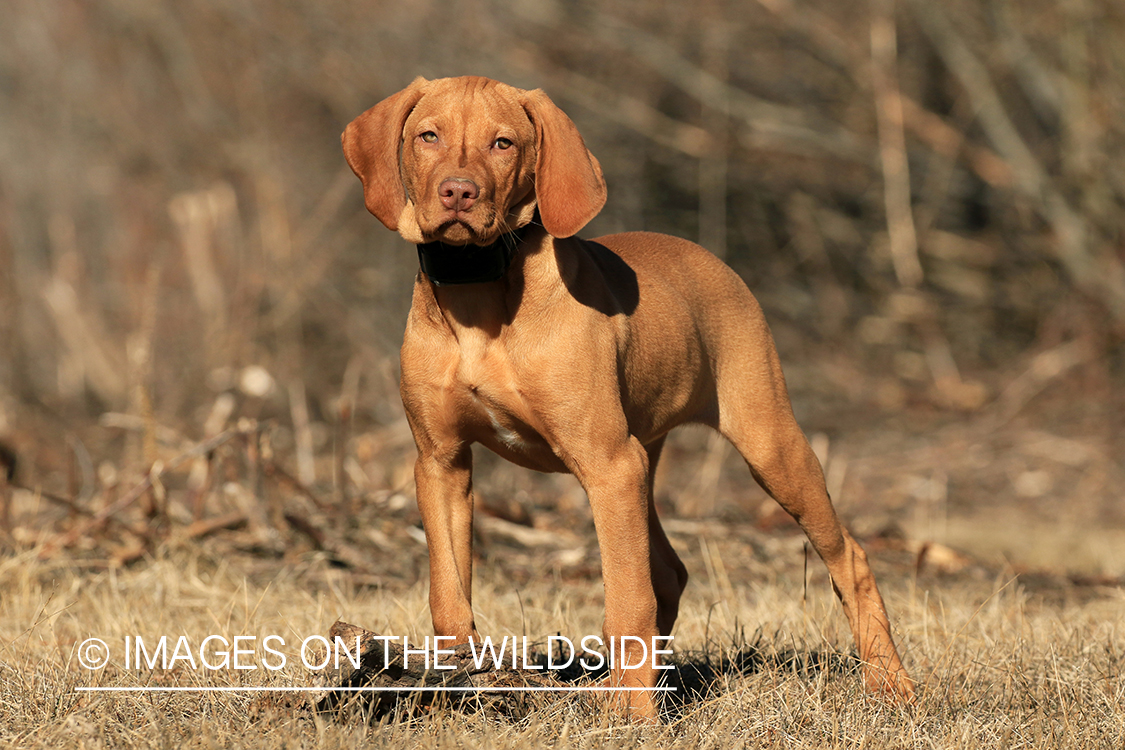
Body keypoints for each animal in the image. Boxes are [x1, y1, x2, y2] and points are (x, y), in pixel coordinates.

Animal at [342, 76, 913, 719]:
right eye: (427, 136)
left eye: (503, 143)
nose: (458, 192)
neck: (481, 297)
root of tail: (708, 256)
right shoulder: (440, 462)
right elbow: (448, 590)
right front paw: (455, 682)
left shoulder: (608, 464)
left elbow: (626, 600)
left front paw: (632, 719)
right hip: (646, 455)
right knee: (669, 571)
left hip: (767, 445)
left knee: (847, 556)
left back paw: (891, 684)